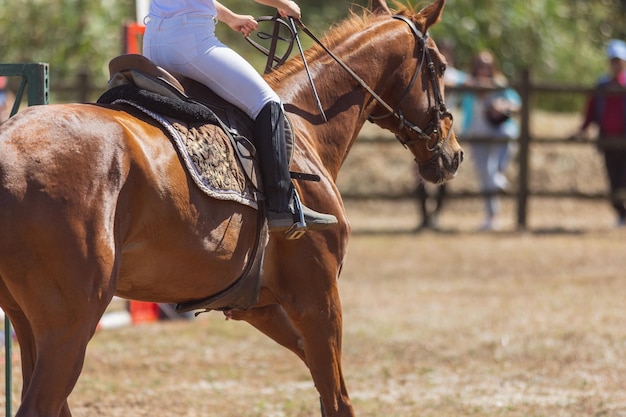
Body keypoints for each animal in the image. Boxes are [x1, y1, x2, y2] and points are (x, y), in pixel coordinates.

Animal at [0, 0, 458, 414]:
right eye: (439, 66)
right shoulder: (318, 295)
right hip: (71, 326)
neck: (305, 129)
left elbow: (317, 373)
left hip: (28, 322)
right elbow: (336, 397)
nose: (453, 155)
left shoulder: (259, 305)